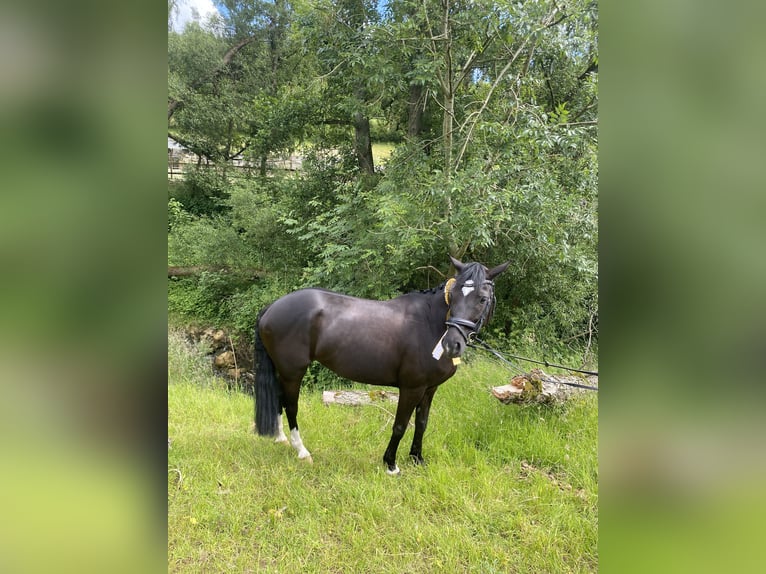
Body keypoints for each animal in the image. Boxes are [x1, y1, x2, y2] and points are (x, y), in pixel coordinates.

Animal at [255, 258, 512, 474]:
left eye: (482, 299)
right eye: (455, 295)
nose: (451, 345)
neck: (429, 324)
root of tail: (272, 307)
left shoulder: (430, 389)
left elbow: (422, 423)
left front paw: (417, 459)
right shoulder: (412, 388)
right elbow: (400, 425)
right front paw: (391, 464)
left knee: (279, 400)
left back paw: (280, 439)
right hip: (293, 372)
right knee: (291, 407)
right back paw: (302, 451)